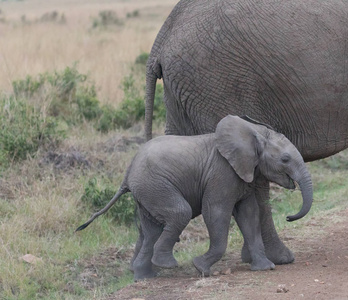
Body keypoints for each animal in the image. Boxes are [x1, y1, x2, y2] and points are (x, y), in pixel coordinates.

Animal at [76, 115, 312, 282]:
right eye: (285, 159)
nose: (289, 217)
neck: (254, 131)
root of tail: (128, 171)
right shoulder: (222, 173)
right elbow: (216, 212)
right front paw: (200, 268)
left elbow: (249, 214)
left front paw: (265, 268)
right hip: (154, 185)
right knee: (180, 213)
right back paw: (167, 265)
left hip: (146, 192)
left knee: (151, 229)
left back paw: (144, 276)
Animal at [143, 0, 348, 264]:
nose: (289, 217)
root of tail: (162, 39)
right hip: (220, 82)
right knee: (251, 178)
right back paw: (277, 258)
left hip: (182, 94)